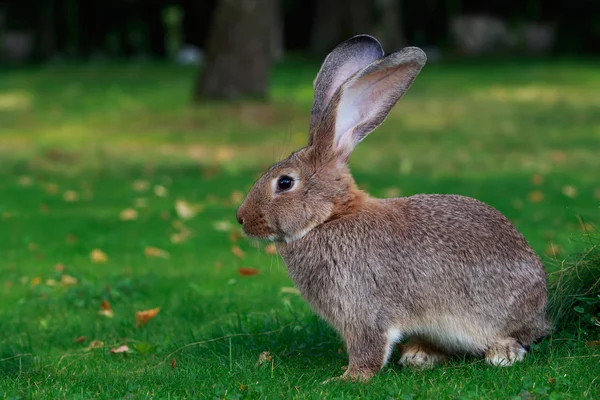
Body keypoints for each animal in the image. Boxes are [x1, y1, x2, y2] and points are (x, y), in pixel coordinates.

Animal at [234, 34, 548, 382]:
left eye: (285, 183)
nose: (242, 219)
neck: (329, 217)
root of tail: (542, 307)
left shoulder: (363, 308)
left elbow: (369, 346)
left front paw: (347, 378)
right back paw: (418, 354)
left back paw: (501, 354)